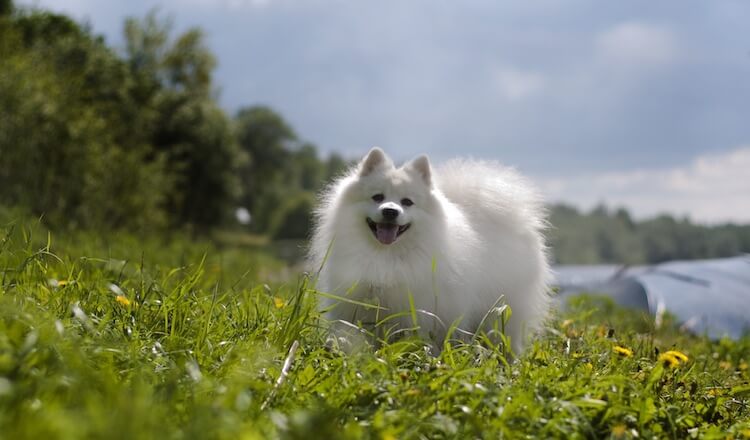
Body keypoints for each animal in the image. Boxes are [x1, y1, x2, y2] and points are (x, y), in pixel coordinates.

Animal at [308, 148, 548, 354]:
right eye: (377, 197)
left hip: (502, 313)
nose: (390, 211)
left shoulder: (416, 311)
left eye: (407, 202)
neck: (387, 255)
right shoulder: (355, 306)